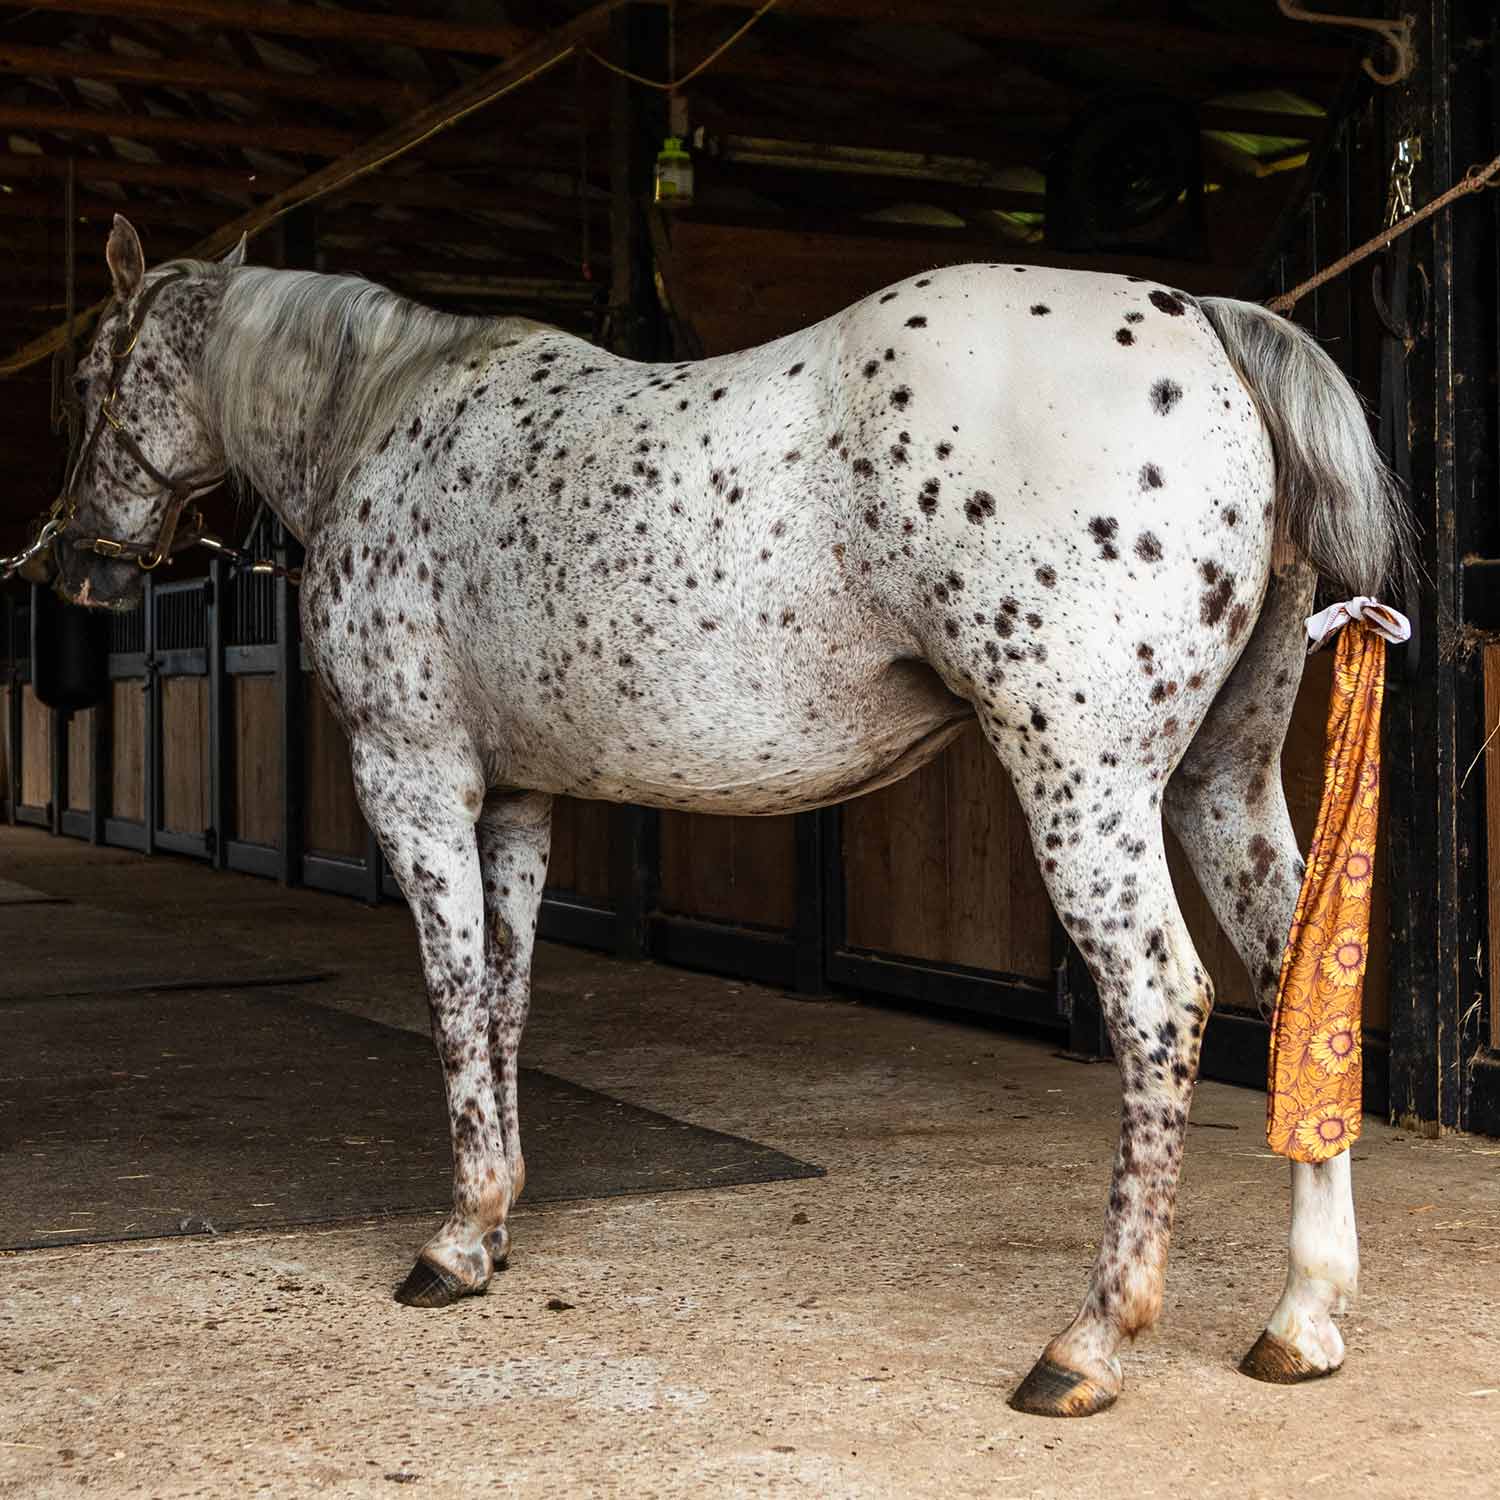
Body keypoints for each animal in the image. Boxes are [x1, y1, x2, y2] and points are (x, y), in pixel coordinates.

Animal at [47, 213, 1409, 1418]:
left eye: (89, 378)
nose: (75, 564)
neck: (383, 418)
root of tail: (1208, 325)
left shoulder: (415, 776)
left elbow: (450, 998)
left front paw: (455, 1240)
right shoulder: (519, 802)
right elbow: (505, 998)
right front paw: (500, 1220)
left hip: (1086, 783)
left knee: (1162, 1005)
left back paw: (1090, 1343)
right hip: (1222, 781)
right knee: (1298, 982)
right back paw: (1304, 1319)